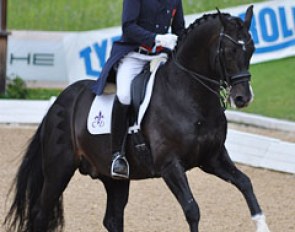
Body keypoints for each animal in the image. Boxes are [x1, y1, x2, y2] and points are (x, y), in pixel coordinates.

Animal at [3, 5, 270, 232]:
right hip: (59, 169)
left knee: (112, 218)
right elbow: (192, 209)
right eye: (228, 51)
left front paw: (262, 226)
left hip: (114, 178)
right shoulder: (170, 165)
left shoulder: (212, 158)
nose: (243, 97)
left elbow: (246, 183)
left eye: (252, 49)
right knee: (41, 214)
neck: (189, 95)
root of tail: (59, 102)